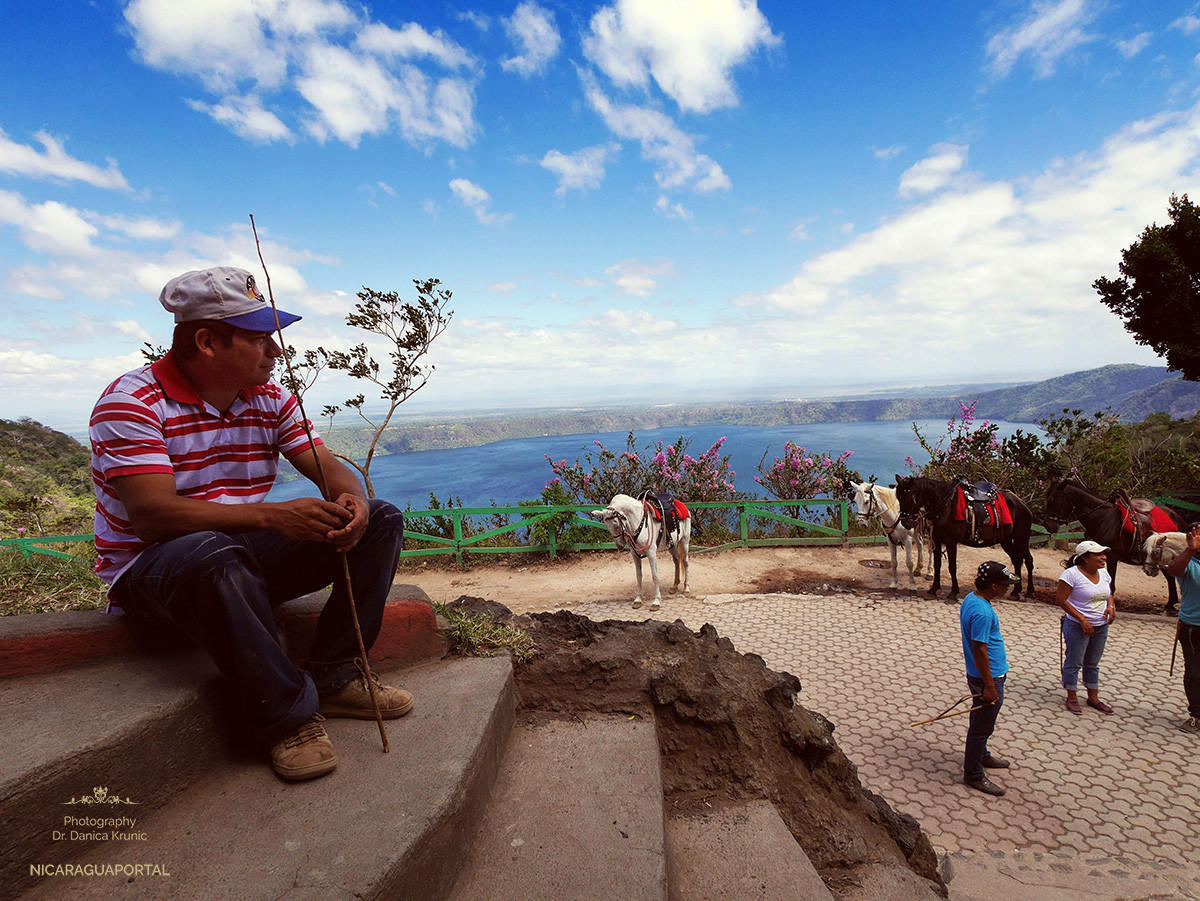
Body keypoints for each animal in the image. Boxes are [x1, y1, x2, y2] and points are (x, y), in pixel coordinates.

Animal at [897, 475, 1036, 602]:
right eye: (899, 497)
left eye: (909, 497)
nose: (906, 523)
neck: (946, 505)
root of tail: (1022, 504)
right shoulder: (937, 539)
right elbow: (937, 565)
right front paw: (933, 590)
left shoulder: (951, 542)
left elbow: (952, 567)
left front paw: (953, 593)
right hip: (1006, 540)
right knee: (1017, 560)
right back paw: (1015, 592)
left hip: (1021, 538)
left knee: (1028, 561)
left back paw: (1029, 592)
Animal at [1041, 479, 1180, 614]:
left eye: (1056, 499)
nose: (1048, 526)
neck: (1103, 520)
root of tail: (1177, 517)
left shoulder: (1112, 558)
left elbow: (1110, 583)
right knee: (1170, 578)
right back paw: (1170, 605)